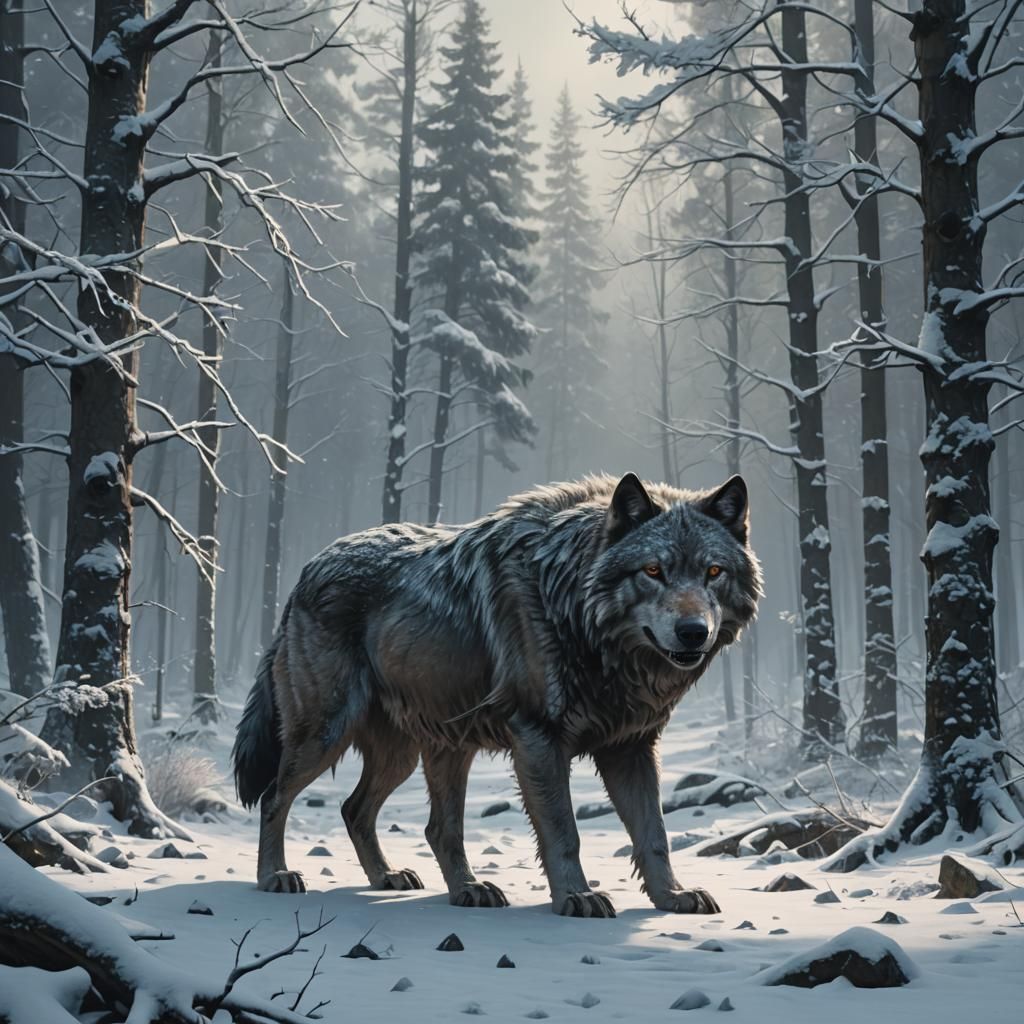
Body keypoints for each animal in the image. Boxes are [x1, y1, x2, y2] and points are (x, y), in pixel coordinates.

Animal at [233, 472, 761, 917]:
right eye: (653, 570)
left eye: (713, 572)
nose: (693, 632)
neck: (577, 611)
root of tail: (306, 571)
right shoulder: (539, 739)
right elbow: (565, 833)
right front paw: (577, 897)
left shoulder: (630, 747)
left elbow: (655, 835)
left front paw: (672, 897)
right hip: (326, 735)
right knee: (275, 798)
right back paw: (275, 876)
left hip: (419, 752)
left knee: (387, 816)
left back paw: (436, 884)